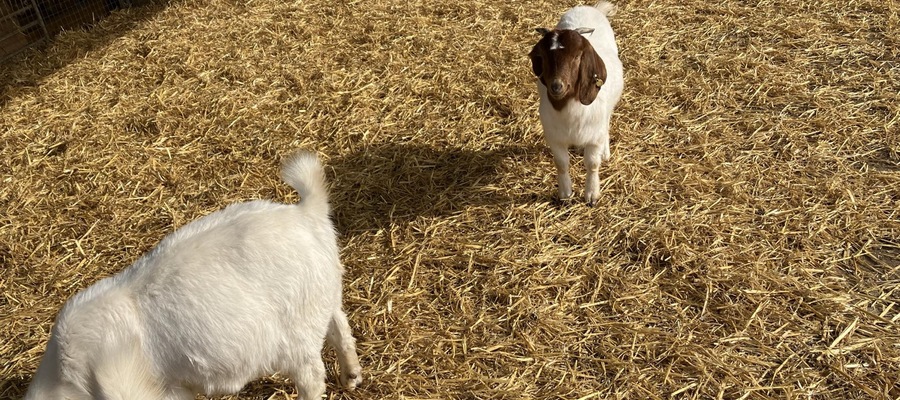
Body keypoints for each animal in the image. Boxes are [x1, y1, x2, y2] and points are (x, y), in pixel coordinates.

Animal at [24, 151, 362, 400]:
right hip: (324, 293)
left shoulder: (137, 390)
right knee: (340, 327)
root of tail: (307, 213)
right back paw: (352, 376)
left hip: (297, 335)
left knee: (312, 377)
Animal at [528, 1, 624, 205]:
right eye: (543, 56)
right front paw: (565, 193)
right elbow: (561, 163)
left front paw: (592, 195)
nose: (556, 86)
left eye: (577, 57)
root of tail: (588, 8)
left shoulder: (594, 137)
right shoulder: (554, 137)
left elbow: (592, 164)